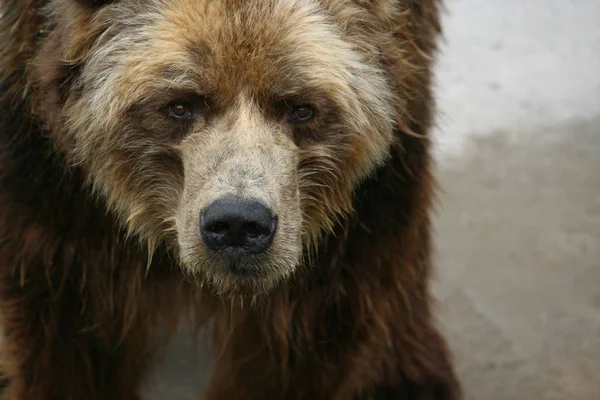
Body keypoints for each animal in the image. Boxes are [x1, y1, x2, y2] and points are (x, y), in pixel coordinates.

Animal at [0, 0, 462, 398]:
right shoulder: (56, 194)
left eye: (301, 108)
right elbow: (64, 333)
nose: (238, 223)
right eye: (180, 104)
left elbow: (302, 338)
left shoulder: (345, 224)